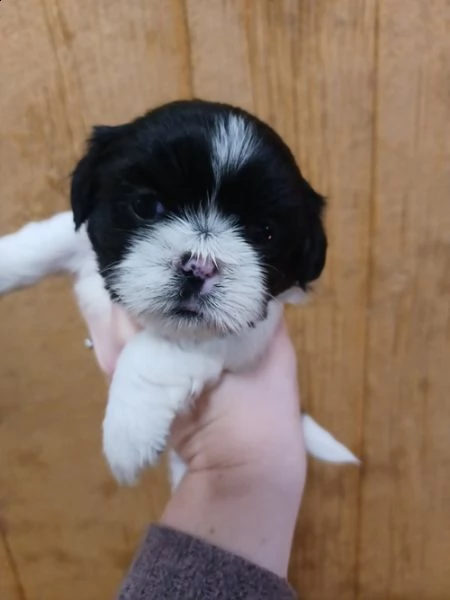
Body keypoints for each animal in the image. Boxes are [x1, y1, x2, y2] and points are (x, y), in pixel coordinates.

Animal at [0, 97, 358, 482]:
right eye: (145, 206)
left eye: (264, 232)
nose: (199, 265)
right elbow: (51, 236)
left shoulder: (244, 332)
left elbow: (153, 351)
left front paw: (127, 431)